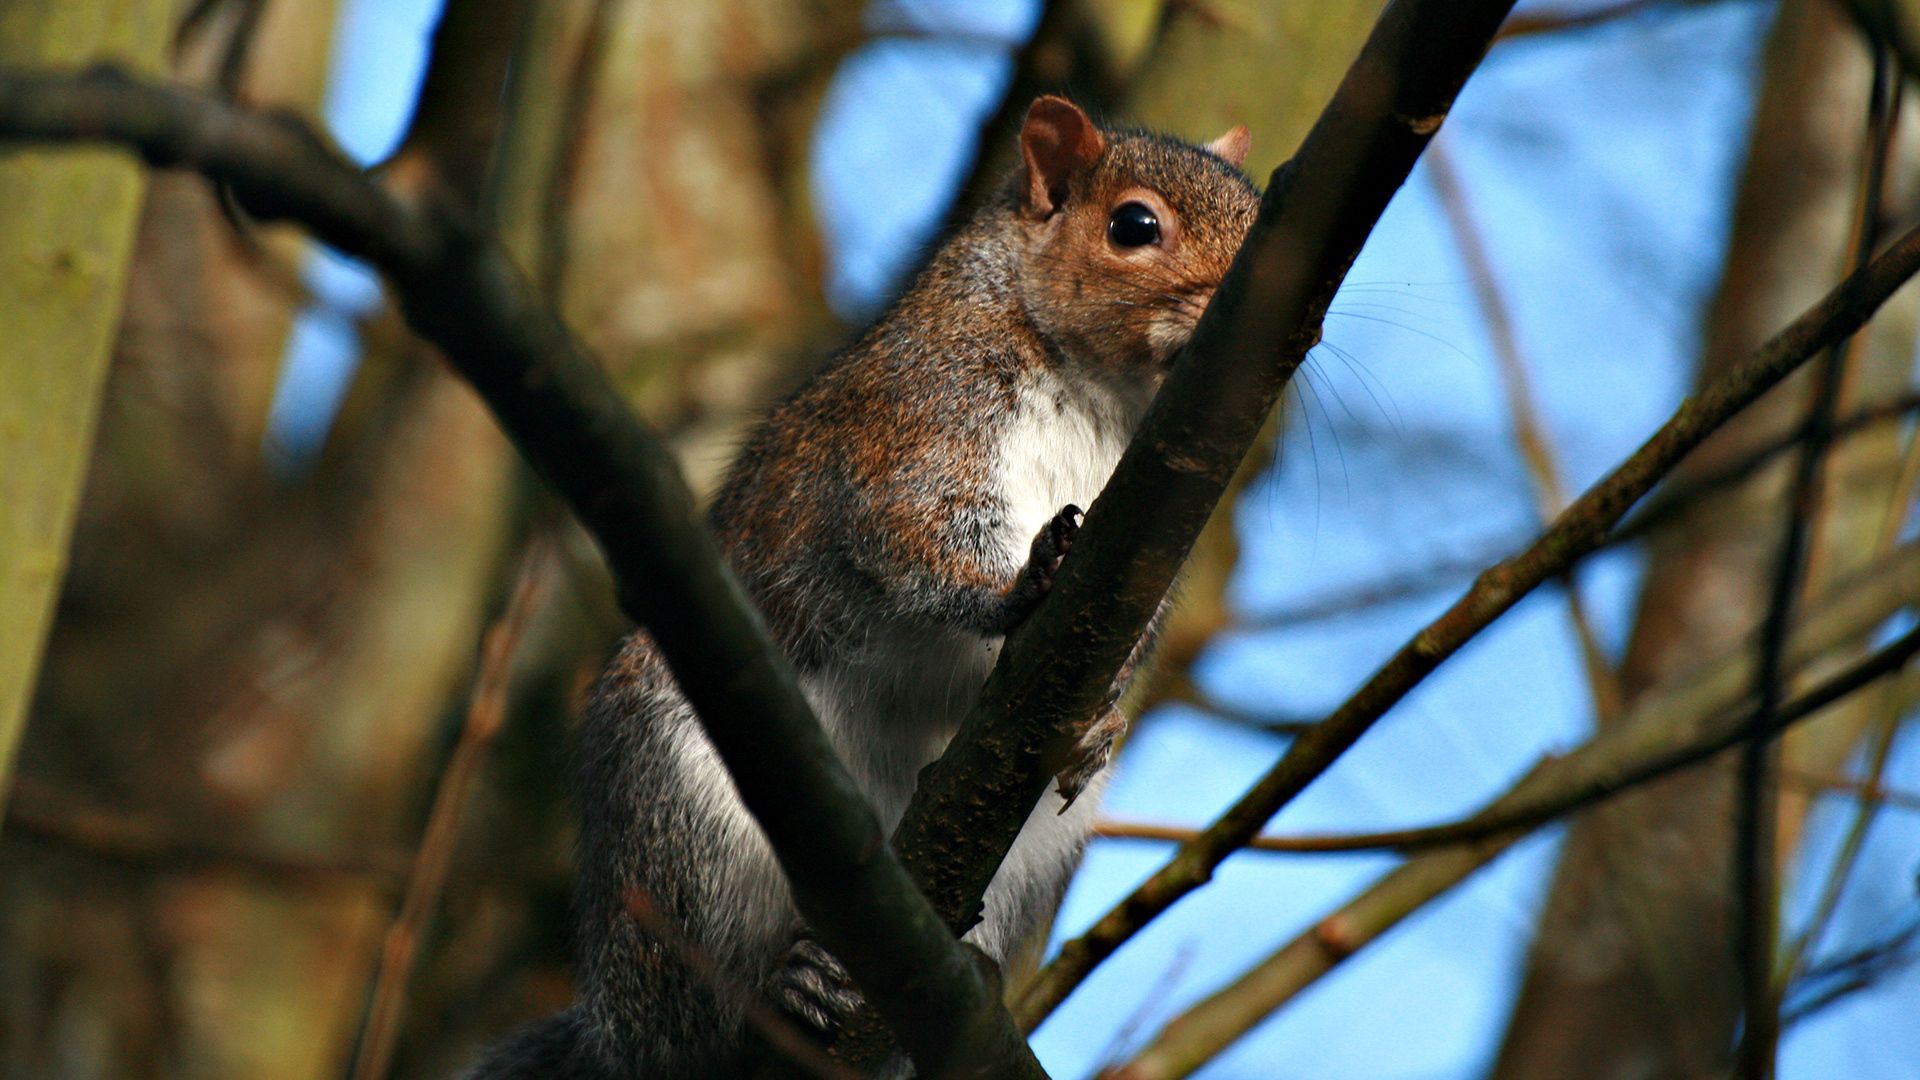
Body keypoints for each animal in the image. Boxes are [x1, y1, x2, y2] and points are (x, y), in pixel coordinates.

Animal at [468, 96, 1259, 1068]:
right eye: (1134, 226)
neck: (1106, 392)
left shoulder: (1170, 521)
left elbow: (1136, 631)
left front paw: (1101, 718)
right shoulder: (918, 416)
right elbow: (908, 530)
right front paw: (1016, 587)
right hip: (682, 833)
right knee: (691, 1014)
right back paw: (785, 986)